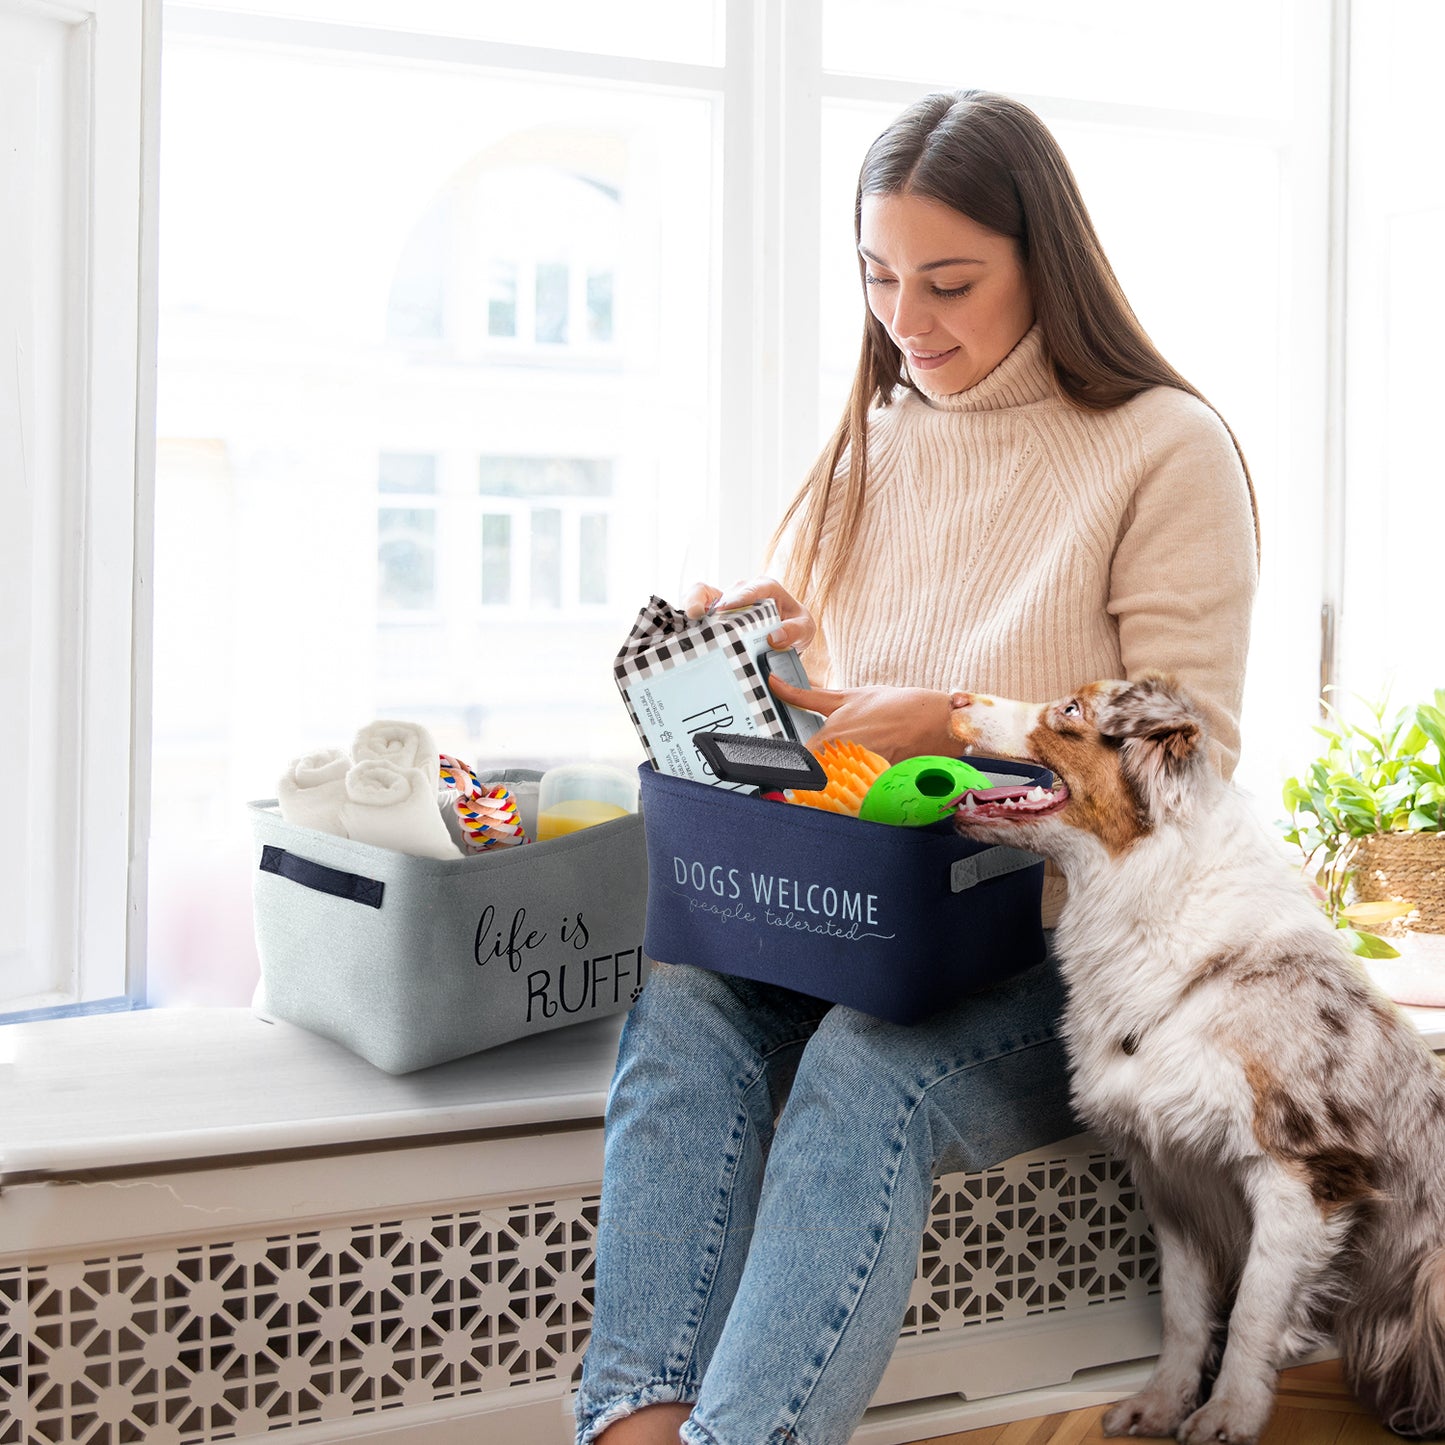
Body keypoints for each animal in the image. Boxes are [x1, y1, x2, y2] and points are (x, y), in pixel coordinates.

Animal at [947, 679, 1445, 1445]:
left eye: (1070, 709)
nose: (952, 697)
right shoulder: (1171, 1174)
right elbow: (1183, 1313)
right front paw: (1161, 1403)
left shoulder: (1301, 1171)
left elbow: (1252, 1314)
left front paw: (1228, 1414)